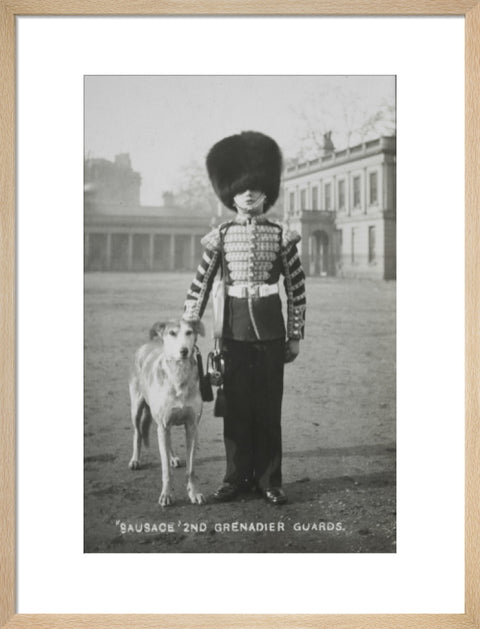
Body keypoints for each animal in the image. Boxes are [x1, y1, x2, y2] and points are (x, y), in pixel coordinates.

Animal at [129, 318, 206, 506]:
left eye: (189, 332)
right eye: (172, 333)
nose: (184, 351)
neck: (179, 375)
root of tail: (147, 344)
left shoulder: (192, 427)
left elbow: (191, 469)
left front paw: (194, 493)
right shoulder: (163, 425)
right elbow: (165, 470)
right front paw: (166, 495)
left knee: (167, 441)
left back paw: (173, 457)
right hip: (136, 408)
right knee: (137, 433)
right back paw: (135, 460)